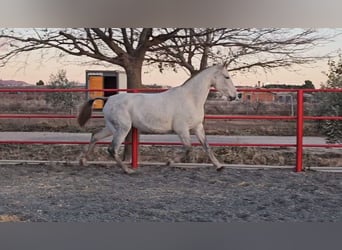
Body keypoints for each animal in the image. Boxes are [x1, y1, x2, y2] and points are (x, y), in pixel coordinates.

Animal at [78, 64, 236, 174]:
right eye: (227, 77)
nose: (235, 96)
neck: (190, 98)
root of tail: (108, 98)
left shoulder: (197, 127)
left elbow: (206, 146)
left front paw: (219, 166)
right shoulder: (182, 129)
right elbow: (188, 148)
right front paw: (169, 162)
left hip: (112, 128)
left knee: (95, 136)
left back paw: (83, 161)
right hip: (123, 128)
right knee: (112, 148)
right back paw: (128, 170)